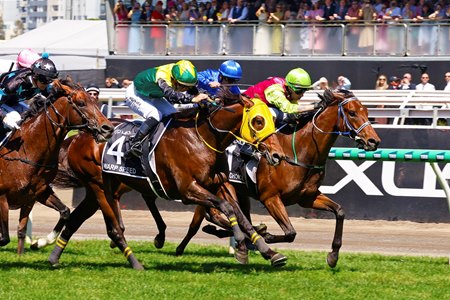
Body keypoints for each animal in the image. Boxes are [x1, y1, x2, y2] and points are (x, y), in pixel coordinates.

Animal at [0, 77, 113, 253]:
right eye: (81, 103)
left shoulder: (36, 193)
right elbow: (4, 237)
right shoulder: (2, 198)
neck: (25, 151)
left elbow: (64, 212)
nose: (107, 128)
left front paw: (39, 242)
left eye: (95, 100)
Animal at [48, 92, 288, 270]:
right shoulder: (188, 190)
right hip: (98, 186)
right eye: (258, 121)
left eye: (273, 120)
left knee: (76, 219)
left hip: (97, 190)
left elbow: (241, 215)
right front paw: (240, 243)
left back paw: (53, 256)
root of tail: (78, 138)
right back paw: (135, 262)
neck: (202, 138)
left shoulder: (219, 184)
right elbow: (226, 208)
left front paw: (269, 252)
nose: (277, 155)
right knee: (112, 227)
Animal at [141, 88, 380, 268]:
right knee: (209, 216)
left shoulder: (308, 198)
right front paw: (268, 238)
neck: (299, 152)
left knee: (215, 216)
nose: (373, 141)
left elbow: (339, 211)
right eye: (351, 112)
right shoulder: (270, 197)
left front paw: (333, 256)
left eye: (367, 111)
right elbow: (290, 232)